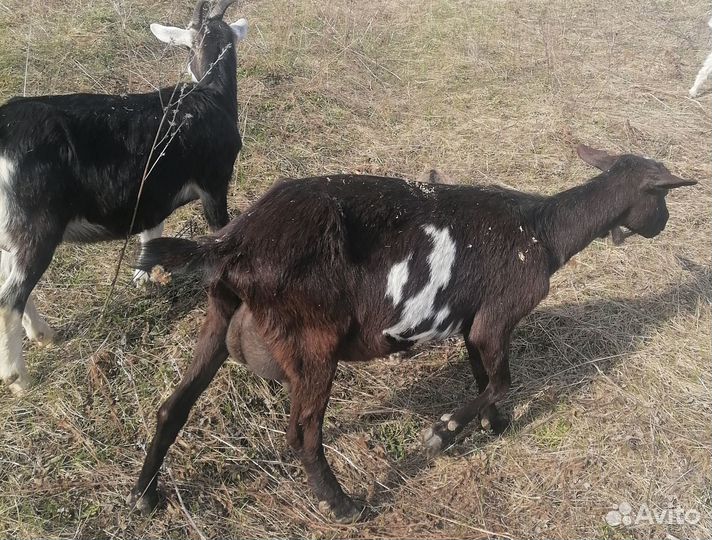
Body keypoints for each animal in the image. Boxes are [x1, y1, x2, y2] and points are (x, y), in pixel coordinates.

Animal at [0, 0, 247, 395]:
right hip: (35, 226)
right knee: (11, 297)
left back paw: (43, 334)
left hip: (12, 231)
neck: (210, 95)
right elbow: (219, 232)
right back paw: (18, 378)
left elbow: (151, 233)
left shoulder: (153, 196)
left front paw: (143, 278)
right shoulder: (214, 182)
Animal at [127, 144, 695, 522]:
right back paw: (343, 506)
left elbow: (485, 376)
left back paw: (144, 495)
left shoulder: (474, 324)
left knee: (172, 406)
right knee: (302, 432)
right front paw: (444, 433)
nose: (662, 225)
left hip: (219, 316)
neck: (540, 231)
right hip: (313, 341)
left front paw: (495, 424)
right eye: (662, 195)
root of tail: (232, 244)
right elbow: (501, 380)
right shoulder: (499, 314)